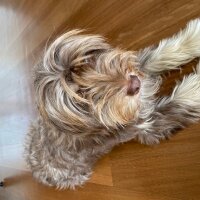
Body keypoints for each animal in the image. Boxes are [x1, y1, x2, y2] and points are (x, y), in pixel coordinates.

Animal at [25, 18, 200, 188]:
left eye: (85, 62)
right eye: (80, 94)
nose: (134, 84)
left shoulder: (139, 70)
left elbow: (155, 57)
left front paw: (192, 39)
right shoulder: (147, 126)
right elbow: (179, 103)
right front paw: (196, 84)